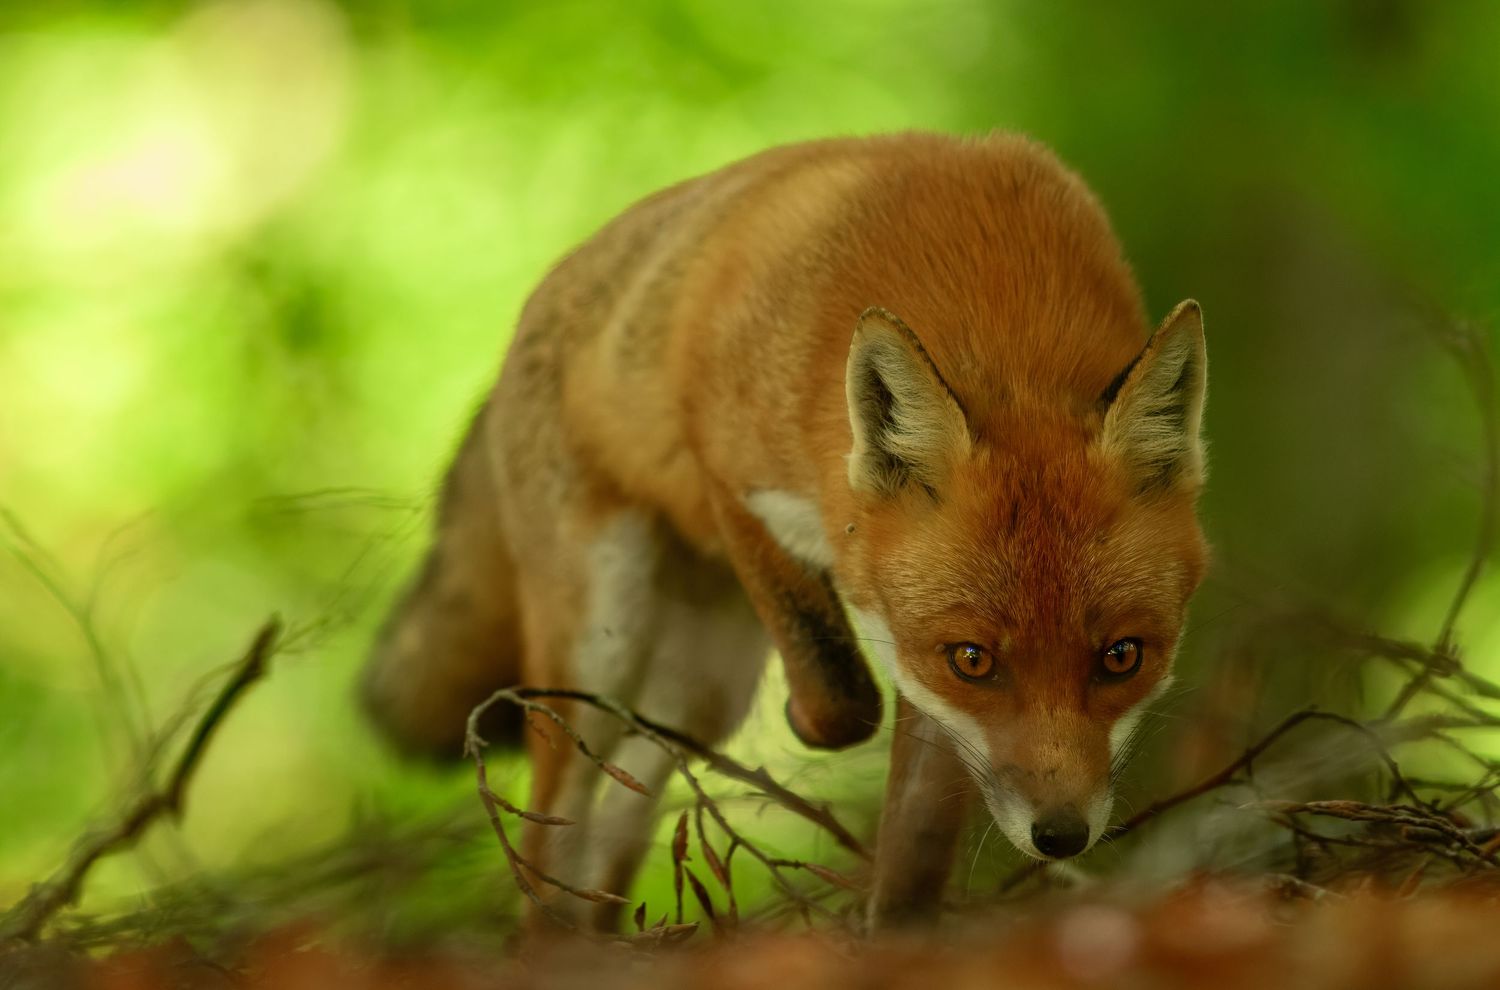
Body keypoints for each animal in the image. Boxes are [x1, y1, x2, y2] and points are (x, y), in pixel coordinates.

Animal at [362, 131, 1209, 930]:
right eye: (973, 659)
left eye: (1122, 657)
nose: (1061, 836)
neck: (998, 310)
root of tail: (535, 301)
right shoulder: (733, 484)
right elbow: (844, 699)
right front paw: (809, 718)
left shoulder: (925, 683)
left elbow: (918, 834)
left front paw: (897, 936)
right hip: (600, 648)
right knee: (549, 847)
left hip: (698, 693)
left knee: (616, 833)